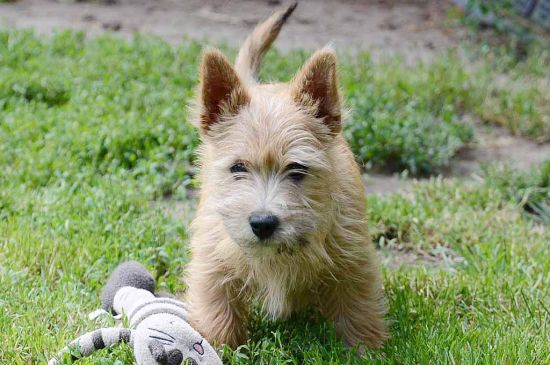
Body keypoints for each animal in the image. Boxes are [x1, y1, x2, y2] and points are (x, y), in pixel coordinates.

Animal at [185, 1, 388, 352]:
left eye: (297, 169)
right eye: (238, 167)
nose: (263, 223)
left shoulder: (353, 261)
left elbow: (357, 310)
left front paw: (367, 350)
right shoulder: (212, 262)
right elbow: (216, 312)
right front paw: (216, 347)